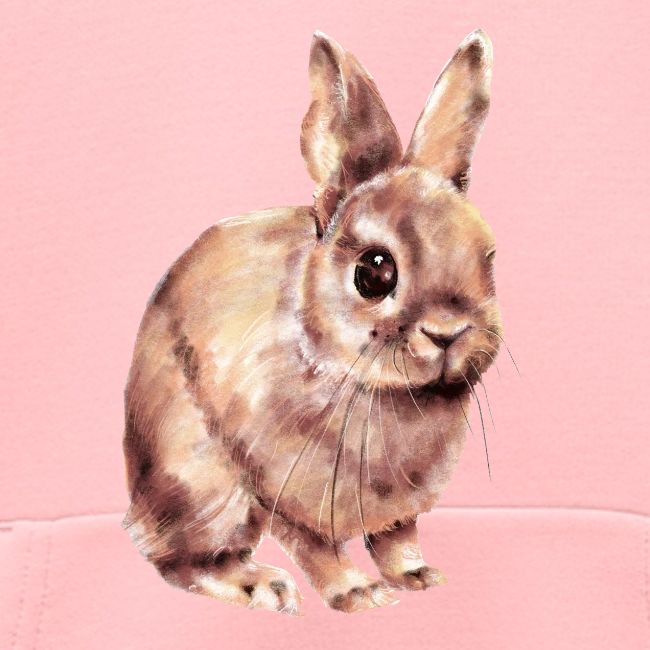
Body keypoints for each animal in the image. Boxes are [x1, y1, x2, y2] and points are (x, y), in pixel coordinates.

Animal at [123, 28, 501, 615]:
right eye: (375, 272)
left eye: (488, 258)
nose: (448, 332)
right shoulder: (282, 487)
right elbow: (316, 548)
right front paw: (360, 593)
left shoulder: (396, 509)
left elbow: (396, 537)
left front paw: (416, 576)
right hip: (204, 488)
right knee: (183, 563)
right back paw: (264, 587)